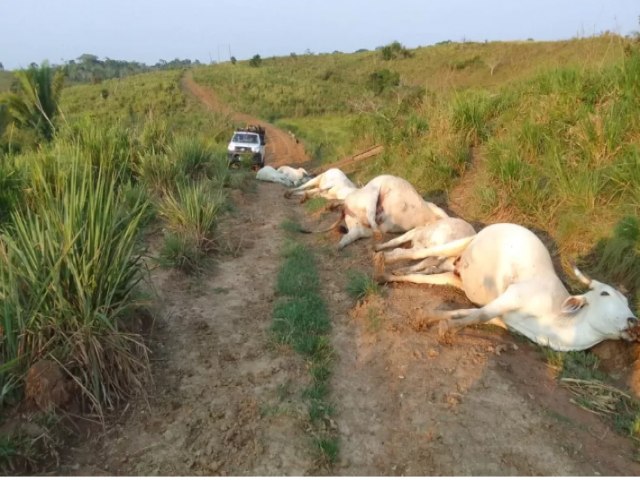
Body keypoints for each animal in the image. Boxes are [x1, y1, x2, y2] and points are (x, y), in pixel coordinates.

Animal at [372, 223, 636, 350]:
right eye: (605, 293)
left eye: (627, 302)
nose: (634, 322)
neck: (556, 321)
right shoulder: (513, 296)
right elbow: (478, 315)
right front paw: (446, 328)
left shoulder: (504, 319)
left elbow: (466, 312)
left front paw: (429, 317)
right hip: (465, 242)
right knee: (417, 252)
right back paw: (382, 256)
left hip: (455, 275)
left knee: (423, 275)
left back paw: (388, 275)